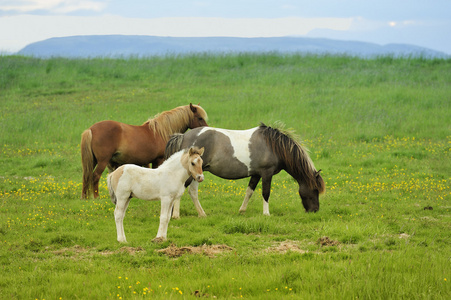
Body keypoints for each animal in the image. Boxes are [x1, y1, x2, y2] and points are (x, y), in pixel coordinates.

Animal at [165, 122, 324, 218]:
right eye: (315, 190)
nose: (315, 210)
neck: (273, 145)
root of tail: (184, 136)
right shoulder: (267, 173)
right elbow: (266, 193)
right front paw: (266, 214)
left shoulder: (256, 174)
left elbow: (249, 191)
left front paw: (242, 210)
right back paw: (176, 215)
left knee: (192, 192)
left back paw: (201, 214)